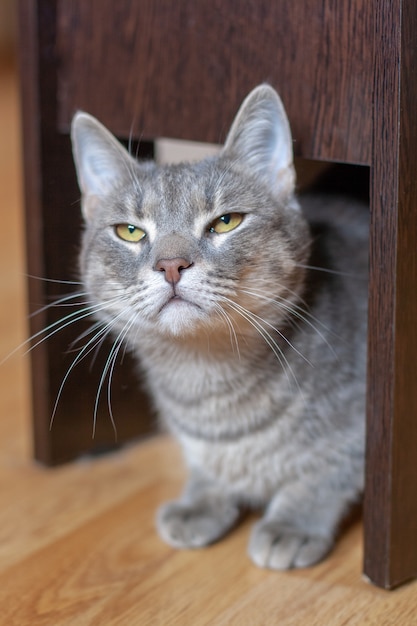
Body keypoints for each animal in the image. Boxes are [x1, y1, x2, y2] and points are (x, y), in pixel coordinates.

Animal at [71, 85, 368, 568]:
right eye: (131, 231)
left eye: (226, 221)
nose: (171, 264)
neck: (205, 376)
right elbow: (207, 466)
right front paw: (202, 498)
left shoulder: (366, 425)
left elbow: (325, 471)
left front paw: (293, 522)